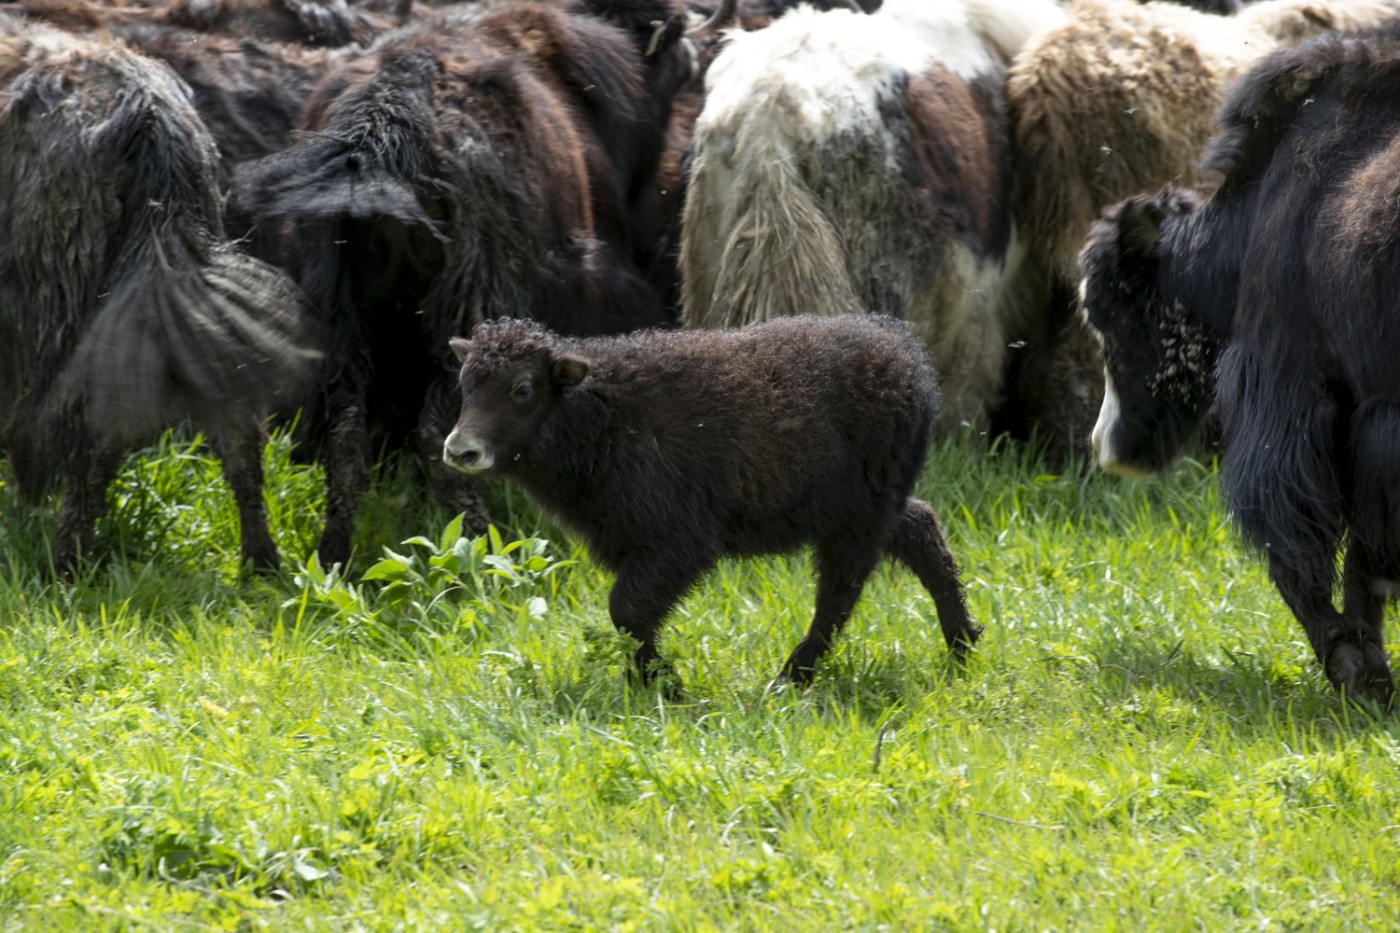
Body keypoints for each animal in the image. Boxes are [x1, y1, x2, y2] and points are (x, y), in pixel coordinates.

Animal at [0, 12, 317, 565]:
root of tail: (149, 118)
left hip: (54, 302)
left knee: (78, 427)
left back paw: (65, 557)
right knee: (236, 426)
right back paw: (260, 561)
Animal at [439, 316, 974, 686]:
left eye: (522, 388)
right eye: (464, 384)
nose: (460, 450)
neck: (603, 411)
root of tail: (905, 350)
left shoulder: (680, 542)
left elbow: (627, 610)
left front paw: (664, 685)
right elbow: (631, 617)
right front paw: (647, 681)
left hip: (858, 515)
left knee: (841, 590)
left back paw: (792, 676)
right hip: (863, 507)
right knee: (921, 532)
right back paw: (963, 647)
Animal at [1080, 32, 1400, 700]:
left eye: (1104, 315)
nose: (1103, 447)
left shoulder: (1287, 391)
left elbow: (1296, 542)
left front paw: (1350, 664)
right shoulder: (1369, 423)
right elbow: (1366, 555)